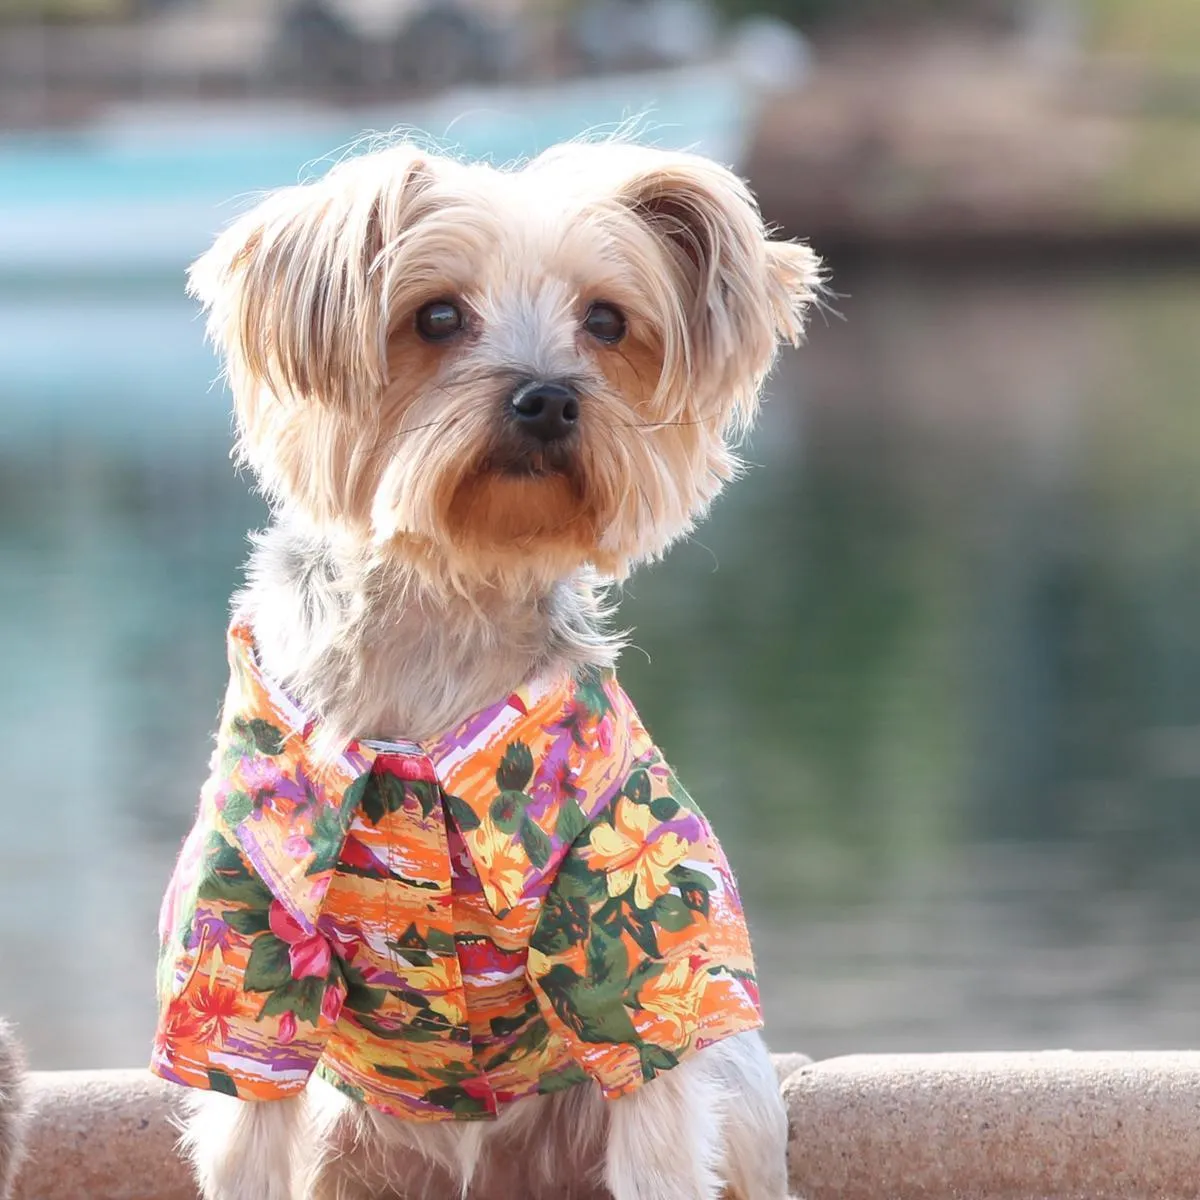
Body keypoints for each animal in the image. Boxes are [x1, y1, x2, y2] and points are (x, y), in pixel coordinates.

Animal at [152, 138, 816, 1200]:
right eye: (435, 316)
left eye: (606, 320)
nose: (548, 395)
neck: (446, 610)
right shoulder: (243, 949)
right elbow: (248, 1117)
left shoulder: (642, 957)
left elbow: (657, 1106)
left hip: (738, 1091)